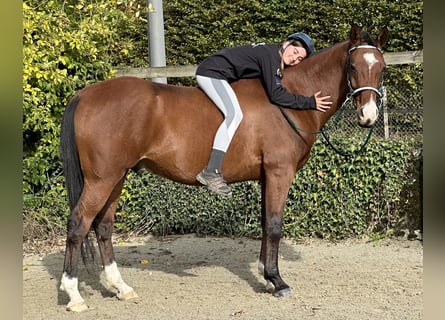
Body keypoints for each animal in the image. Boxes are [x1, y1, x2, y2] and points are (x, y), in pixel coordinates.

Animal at [58, 24, 386, 310]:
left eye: (382, 68)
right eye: (353, 66)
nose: (368, 116)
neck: (290, 101)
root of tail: (84, 94)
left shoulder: (266, 177)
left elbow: (265, 223)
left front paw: (266, 274)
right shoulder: (280, 173)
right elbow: (275, 225)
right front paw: (278, 281)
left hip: (116, 178)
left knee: (103, 227)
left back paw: (120, 287)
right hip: (102, 179)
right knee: (78, 224)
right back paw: (74, 295)